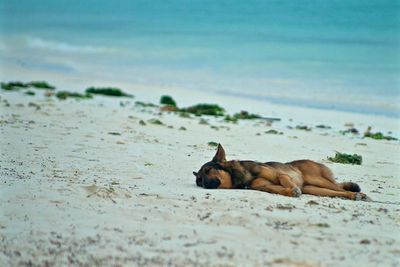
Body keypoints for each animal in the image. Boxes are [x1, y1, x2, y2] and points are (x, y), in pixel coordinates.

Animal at [194, 144, 368, 201]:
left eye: (209, 170)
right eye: (199, 181)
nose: (205, 185)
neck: (244, 176)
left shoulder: (280, 175)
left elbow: (285, 180)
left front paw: (293, 189)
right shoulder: (265, 187)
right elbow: (281, 190)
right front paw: (292, 192)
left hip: (318, 180)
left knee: (338, 187)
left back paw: (357, 194)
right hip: (314, 189)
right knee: (336, 191)